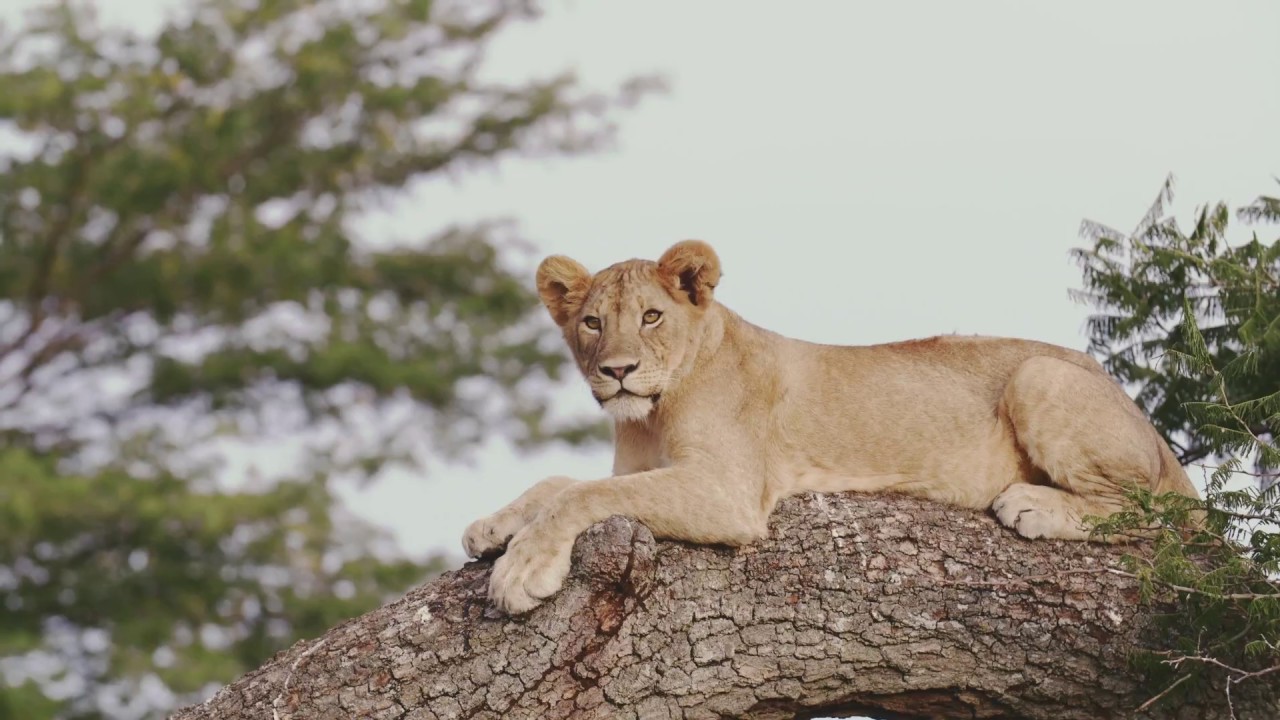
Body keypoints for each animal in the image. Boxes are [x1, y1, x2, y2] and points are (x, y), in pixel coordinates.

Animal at [463, 240, 1200, 614]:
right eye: (592, 322)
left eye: (650, 317)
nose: (617, 371)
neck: (653, 413)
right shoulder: (647, 467)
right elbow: (560, 481)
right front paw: (491, 527)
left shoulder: (729, 492)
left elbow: (586, 493)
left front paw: (523, 568)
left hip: (1040, 377)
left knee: (1151, 512)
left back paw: (1034, 504)